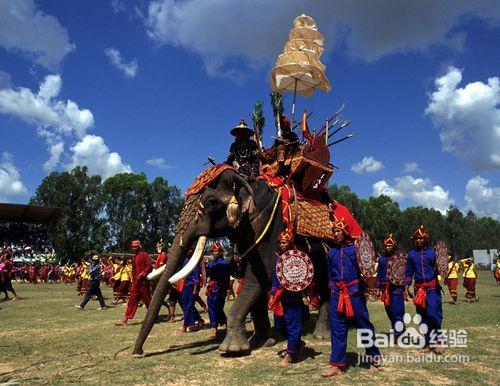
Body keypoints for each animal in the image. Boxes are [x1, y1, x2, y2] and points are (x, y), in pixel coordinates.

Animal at [132, 169, 332, 356]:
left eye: (212, 202)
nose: (138, 352)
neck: (247, 181)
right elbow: (256, 279)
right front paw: (262, 341)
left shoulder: (272, 224)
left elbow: (262, 275)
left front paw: (232, 349)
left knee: (324, 282)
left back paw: (321, 335)